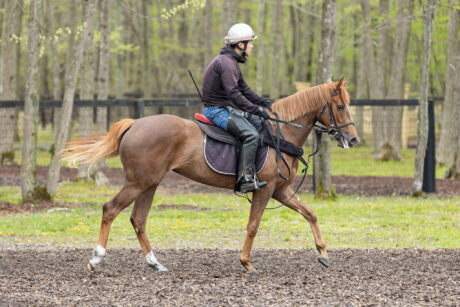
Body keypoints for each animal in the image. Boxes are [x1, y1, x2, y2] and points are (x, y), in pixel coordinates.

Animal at [64, 78, 360, 276]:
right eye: (340, 106)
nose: (354, 139)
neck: (280, 133)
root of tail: (135, 123)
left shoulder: (281, 191)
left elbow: (310, 214)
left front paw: (323, 252)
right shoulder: (264, 190)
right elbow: (253, 226)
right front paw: (246, 263)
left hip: (149, 184)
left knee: (138, 220)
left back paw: (155, 262)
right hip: (137, 183)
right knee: (110, 209)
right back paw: (97, 259)